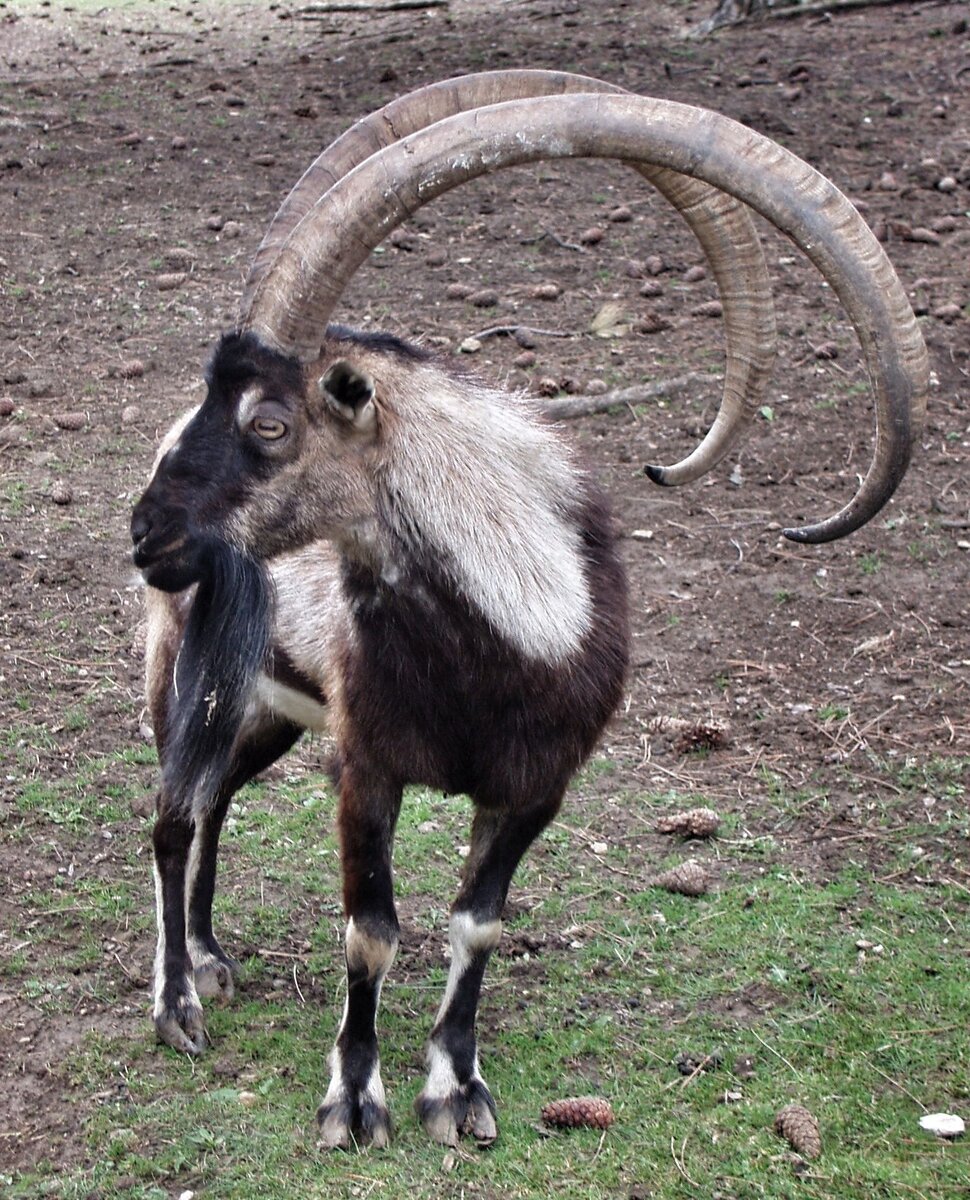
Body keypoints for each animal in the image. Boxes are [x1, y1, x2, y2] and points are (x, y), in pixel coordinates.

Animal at [130, 70, 926, 1147]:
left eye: (270, 421)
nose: (147, 532)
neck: (503, 649)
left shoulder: (536, 785)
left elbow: (479, 922)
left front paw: (456, 1088)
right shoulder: (366, 768)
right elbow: (370, 931)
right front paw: (355, 1101)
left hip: (267, 710)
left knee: (215, 798)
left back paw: (213, 954)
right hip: (184, 672)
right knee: (175, 813)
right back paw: (179, 1003)